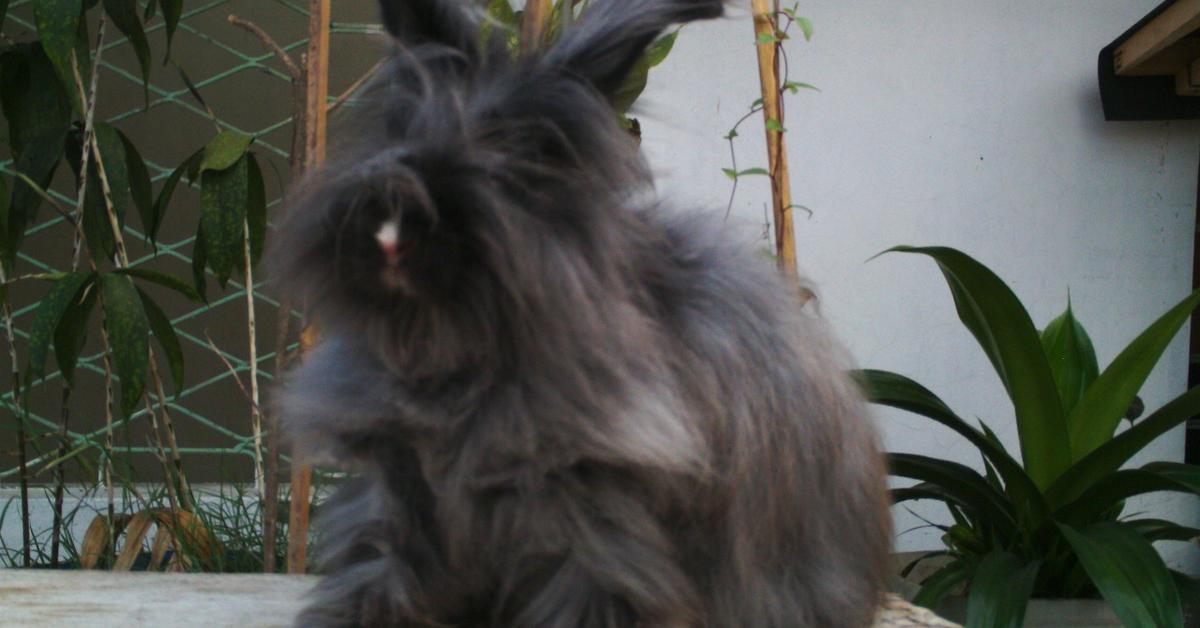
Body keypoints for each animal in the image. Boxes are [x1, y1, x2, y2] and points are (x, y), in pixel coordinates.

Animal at [270, 1, 892, 628]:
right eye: (402, 129)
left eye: (525, 156)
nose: (393, 234)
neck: (454, 362)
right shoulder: (394, 494)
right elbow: (377, 575)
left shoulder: (596, 522)